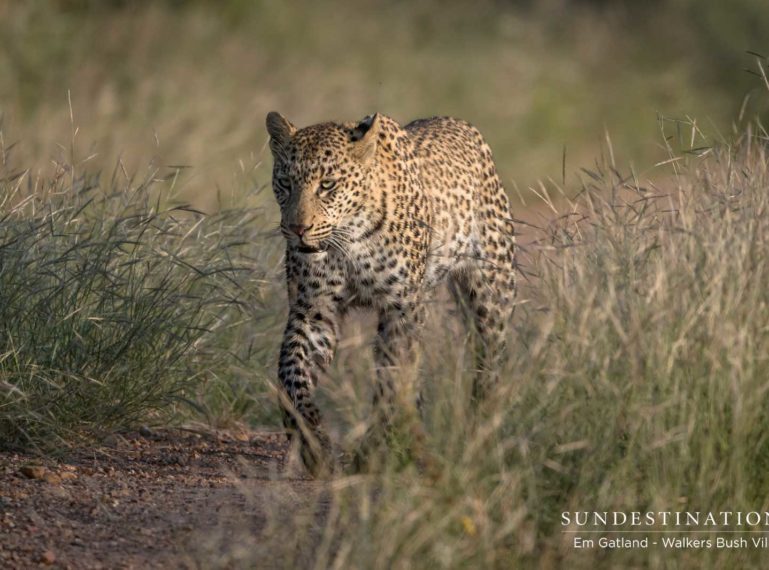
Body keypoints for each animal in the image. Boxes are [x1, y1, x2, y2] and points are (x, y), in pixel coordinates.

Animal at [266, 111, 516, 474]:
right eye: (285, 183)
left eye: (327, 185)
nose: (297, 229)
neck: (348, 240)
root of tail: (457, 121)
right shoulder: (313, 310)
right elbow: (291, 378)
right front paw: (314, 445)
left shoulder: (402, 309)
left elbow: (390, 381)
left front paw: (373, 451)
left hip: (493, 291)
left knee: (490, 362)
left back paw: (479, 432)